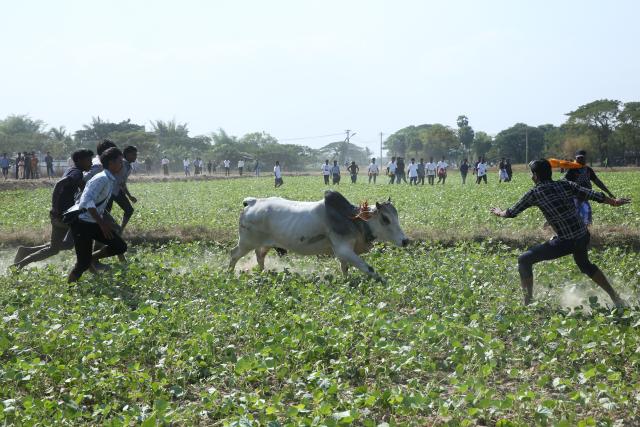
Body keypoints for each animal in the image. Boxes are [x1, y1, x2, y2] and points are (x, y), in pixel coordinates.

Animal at [229, 190, 409, 281]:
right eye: (385, 219)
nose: (405, 240)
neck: (353, 220)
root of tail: (251, 202)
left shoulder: (343, 253)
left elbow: (344, 268)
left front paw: (346, 281)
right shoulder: (344, 250)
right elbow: (369, 268)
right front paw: (384, 282)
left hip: (265, 243)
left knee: (259, 256)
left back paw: (263, 272)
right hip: (246, 242)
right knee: (234, 254)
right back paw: (229, 274)